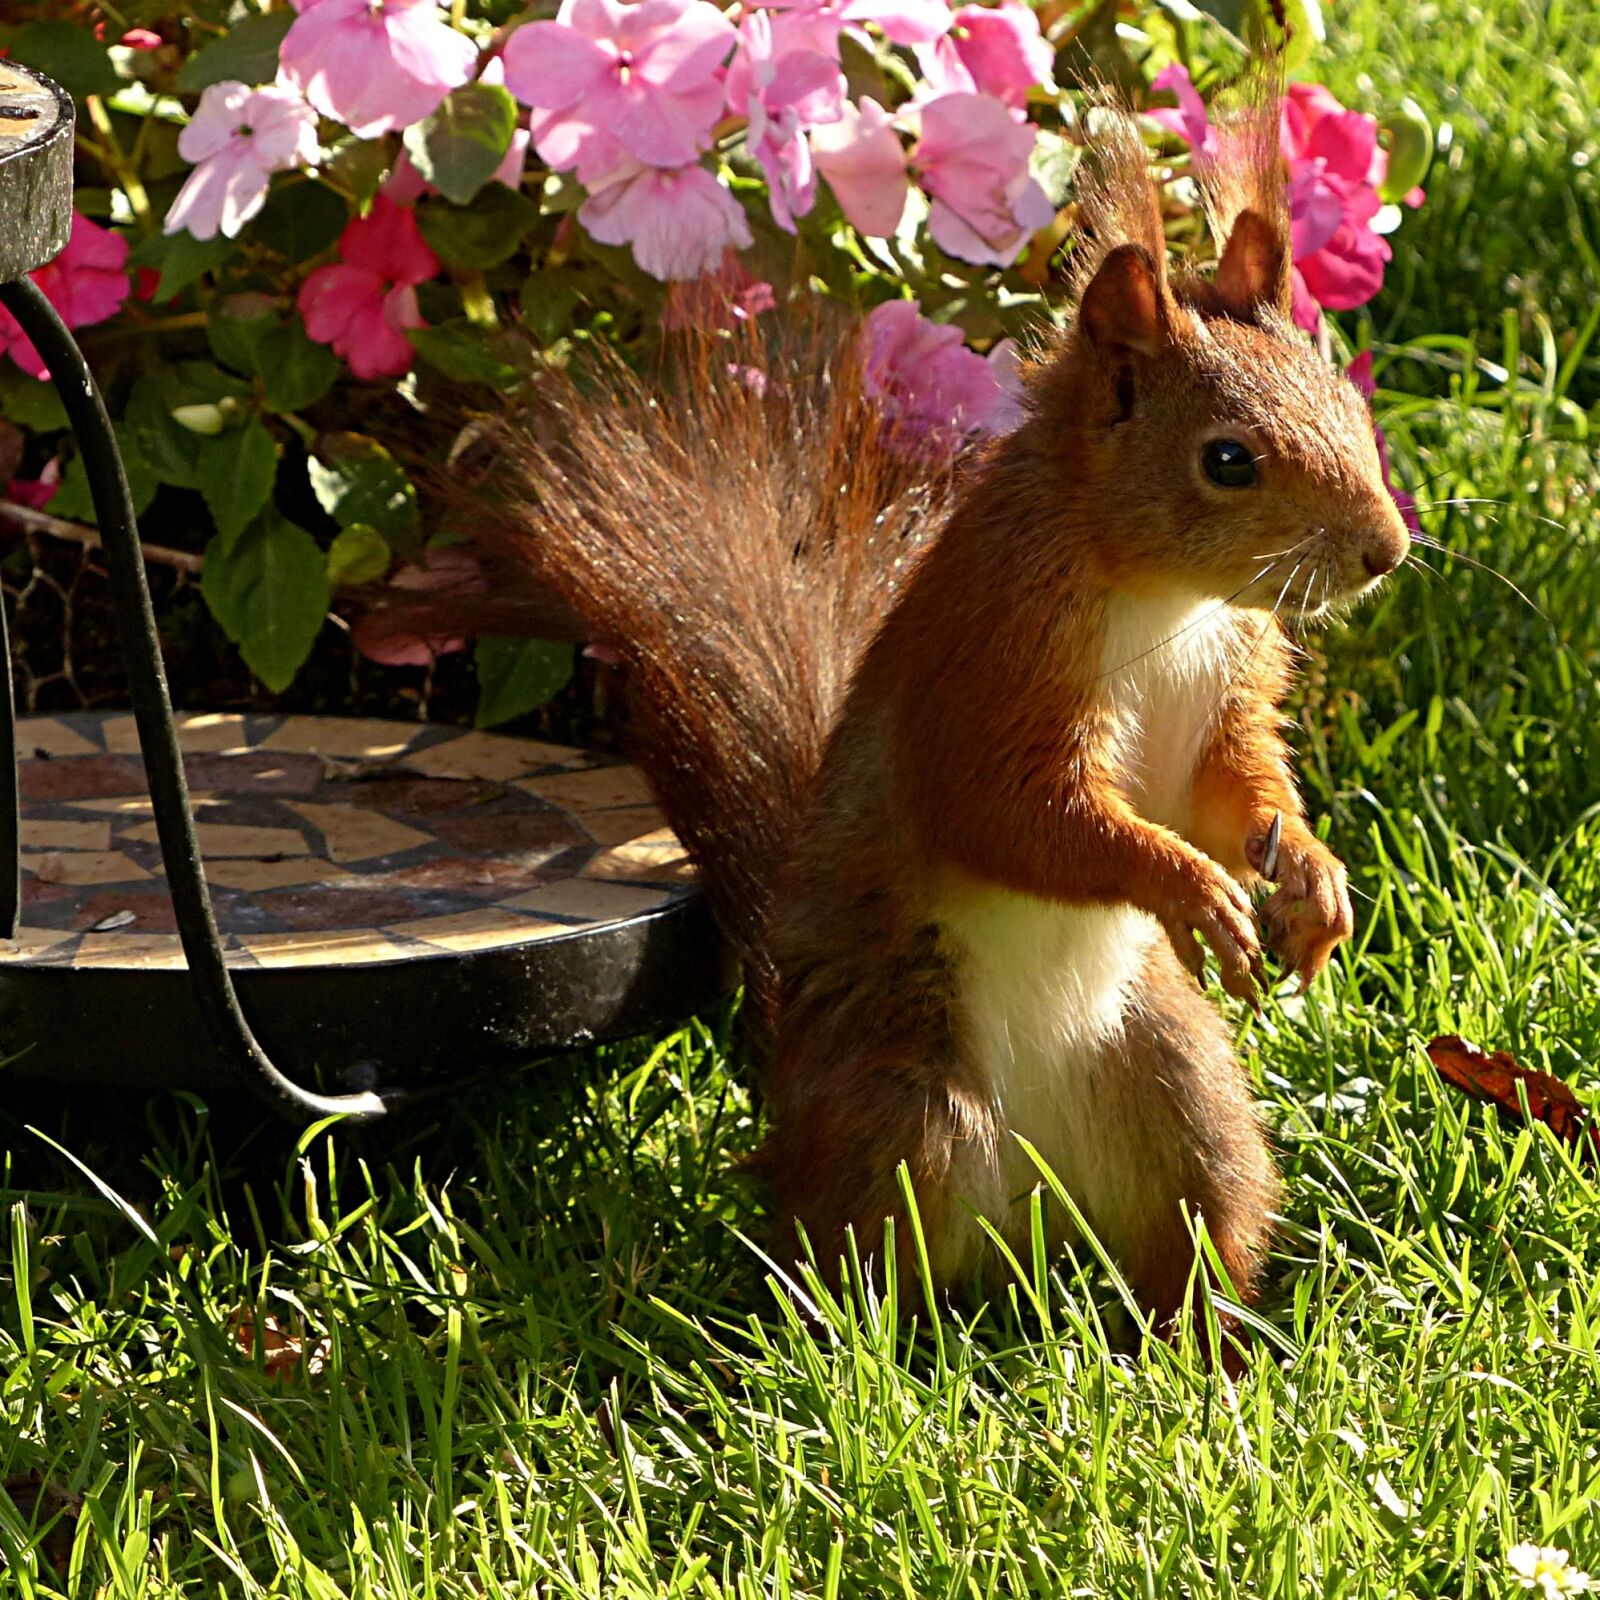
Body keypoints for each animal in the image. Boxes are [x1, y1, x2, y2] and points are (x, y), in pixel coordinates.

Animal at [454, 100, 1410, 1336]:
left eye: (1347, 403)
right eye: (1228, 461)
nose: (1387, 549)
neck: (1165, 597)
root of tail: (1037, 1231)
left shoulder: (1225, 690)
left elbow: (1231, 785)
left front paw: (1310, 875)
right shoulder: (993, 672)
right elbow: (1014, 816)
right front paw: (1190, 888)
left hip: (1184, 1094)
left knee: (1195, 1228)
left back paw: (1208, 1348)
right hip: (907, 1110)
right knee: (865, 1262)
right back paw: (872, 1349)